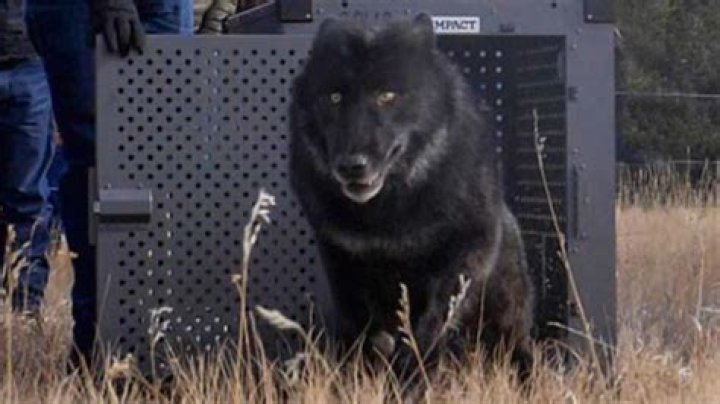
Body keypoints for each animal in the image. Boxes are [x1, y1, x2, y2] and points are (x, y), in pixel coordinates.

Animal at [288, 14, 534, 380]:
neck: (389, 216)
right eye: (334, 97)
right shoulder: (342, 260)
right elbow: (363, 332)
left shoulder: (465, 254)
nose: (352, 165)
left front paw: (412, 371)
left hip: (505, 326)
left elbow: (430, 325)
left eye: (387, 95)